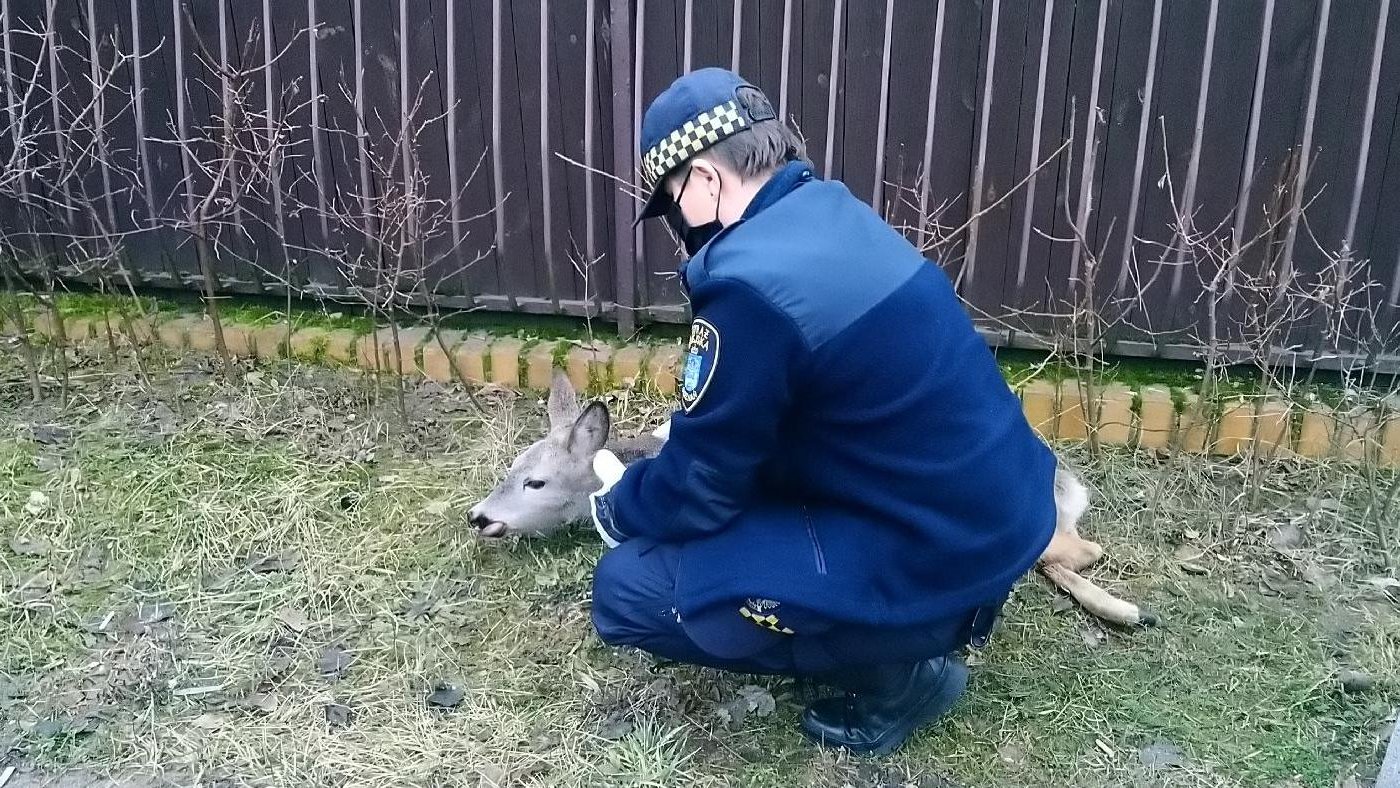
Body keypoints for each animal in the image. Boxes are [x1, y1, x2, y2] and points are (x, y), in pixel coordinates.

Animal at [464, 375, 1153, 629]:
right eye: (509, 469)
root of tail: (1064, 477)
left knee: (1075, 550)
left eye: (536, 483)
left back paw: (1123, 607)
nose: (479, 516)